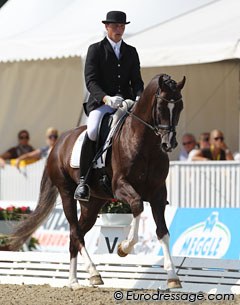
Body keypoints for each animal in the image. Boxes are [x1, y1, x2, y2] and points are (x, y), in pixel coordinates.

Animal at [9, 73, 186, 288]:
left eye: (180, 106)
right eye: (160, 107)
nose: (169, 144)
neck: (146, 144)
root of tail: (58, 143)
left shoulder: (158, 194)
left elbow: (163, 232)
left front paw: (173, 277)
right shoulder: (120, 187)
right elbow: (137, 205)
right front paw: (123, 247)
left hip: (93, 203)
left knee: (75, 235)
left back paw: (74, 280)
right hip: (67, 193)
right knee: (75, 232)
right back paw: (92, 273)